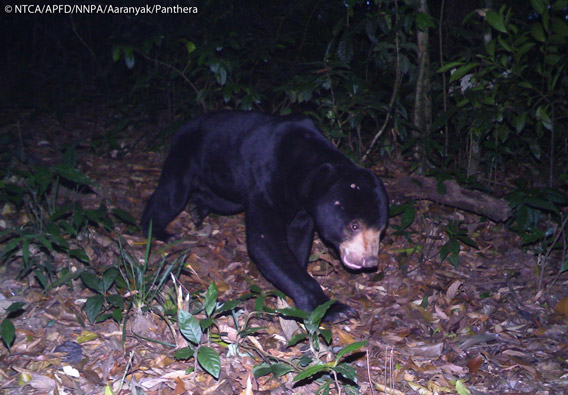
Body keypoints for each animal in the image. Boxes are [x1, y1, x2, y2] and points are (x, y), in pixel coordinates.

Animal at [143, 110, 390, 322]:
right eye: (354, 225)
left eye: (380, 230)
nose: (369, 261)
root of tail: (186, 124)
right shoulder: (266, 183)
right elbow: (265, 242)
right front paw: (334, 309)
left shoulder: (304, 209)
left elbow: (297, 240)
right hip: (186, 154)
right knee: (172, 194)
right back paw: (159, 231)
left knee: (221, 201)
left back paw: (197, 208)